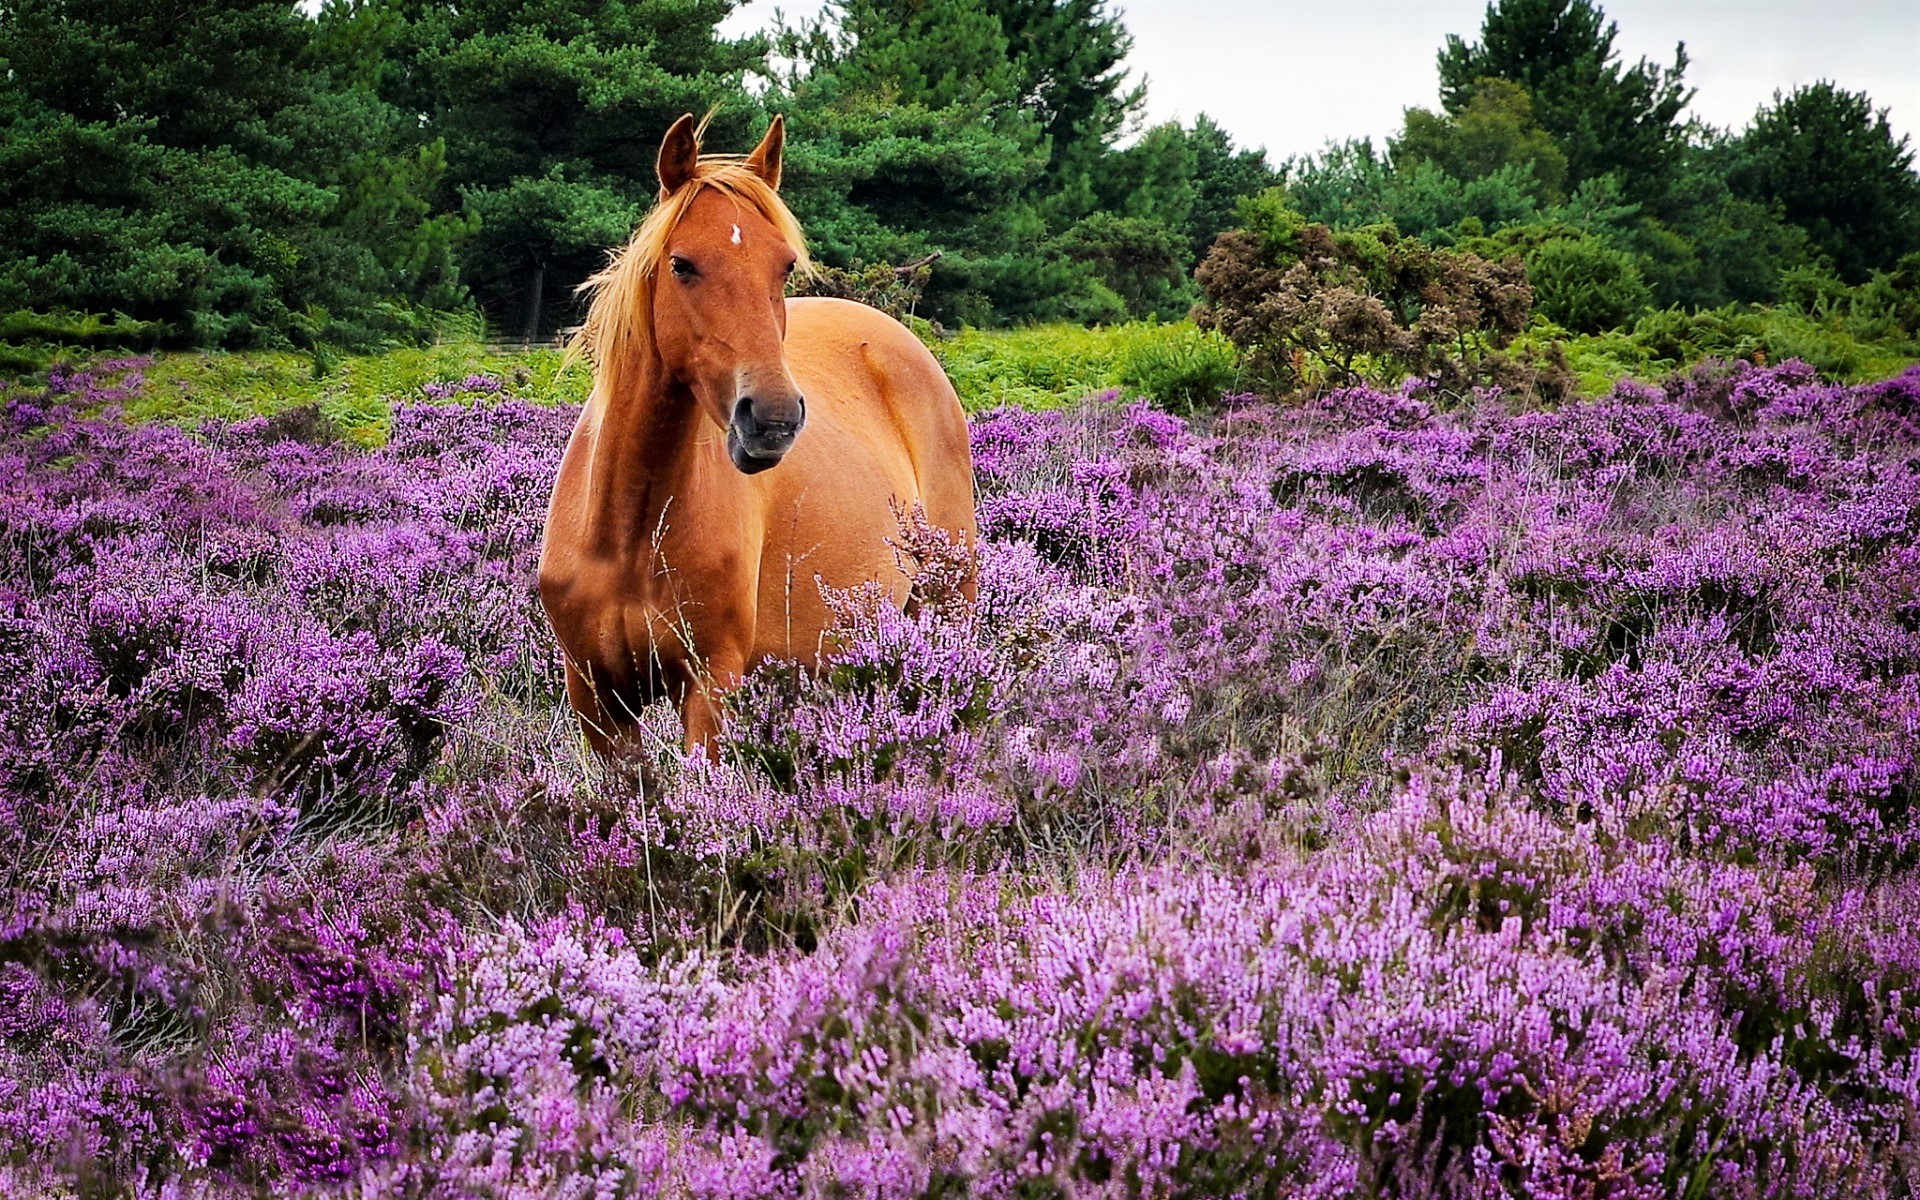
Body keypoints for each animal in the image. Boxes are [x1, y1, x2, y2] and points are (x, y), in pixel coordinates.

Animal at [537, 114, 979, 755]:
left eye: (785, 265)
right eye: (682, 263)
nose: (772, 419)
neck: (626, 530)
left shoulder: (711, 686)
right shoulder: (597, 700)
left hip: (945, 608)